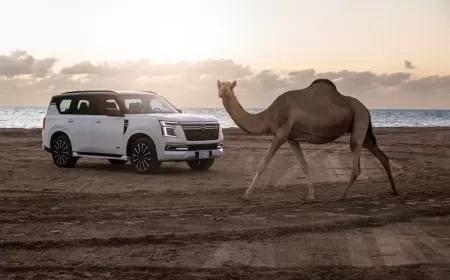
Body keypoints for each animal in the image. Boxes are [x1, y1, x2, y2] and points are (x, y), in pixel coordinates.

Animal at [216, 80, 400, 200]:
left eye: (230, 86)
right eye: (219, 85)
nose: (223, 92)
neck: (269, 116)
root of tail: (366, 109)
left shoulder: (281, 134)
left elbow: (262, 165)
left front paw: (247, 194)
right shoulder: (291, 138)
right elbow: (304, 164)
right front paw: (311, 195)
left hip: (359, 119)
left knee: (357, 161)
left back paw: (342, 195)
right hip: (363, 128)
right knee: (382, 156)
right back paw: (394, 191)